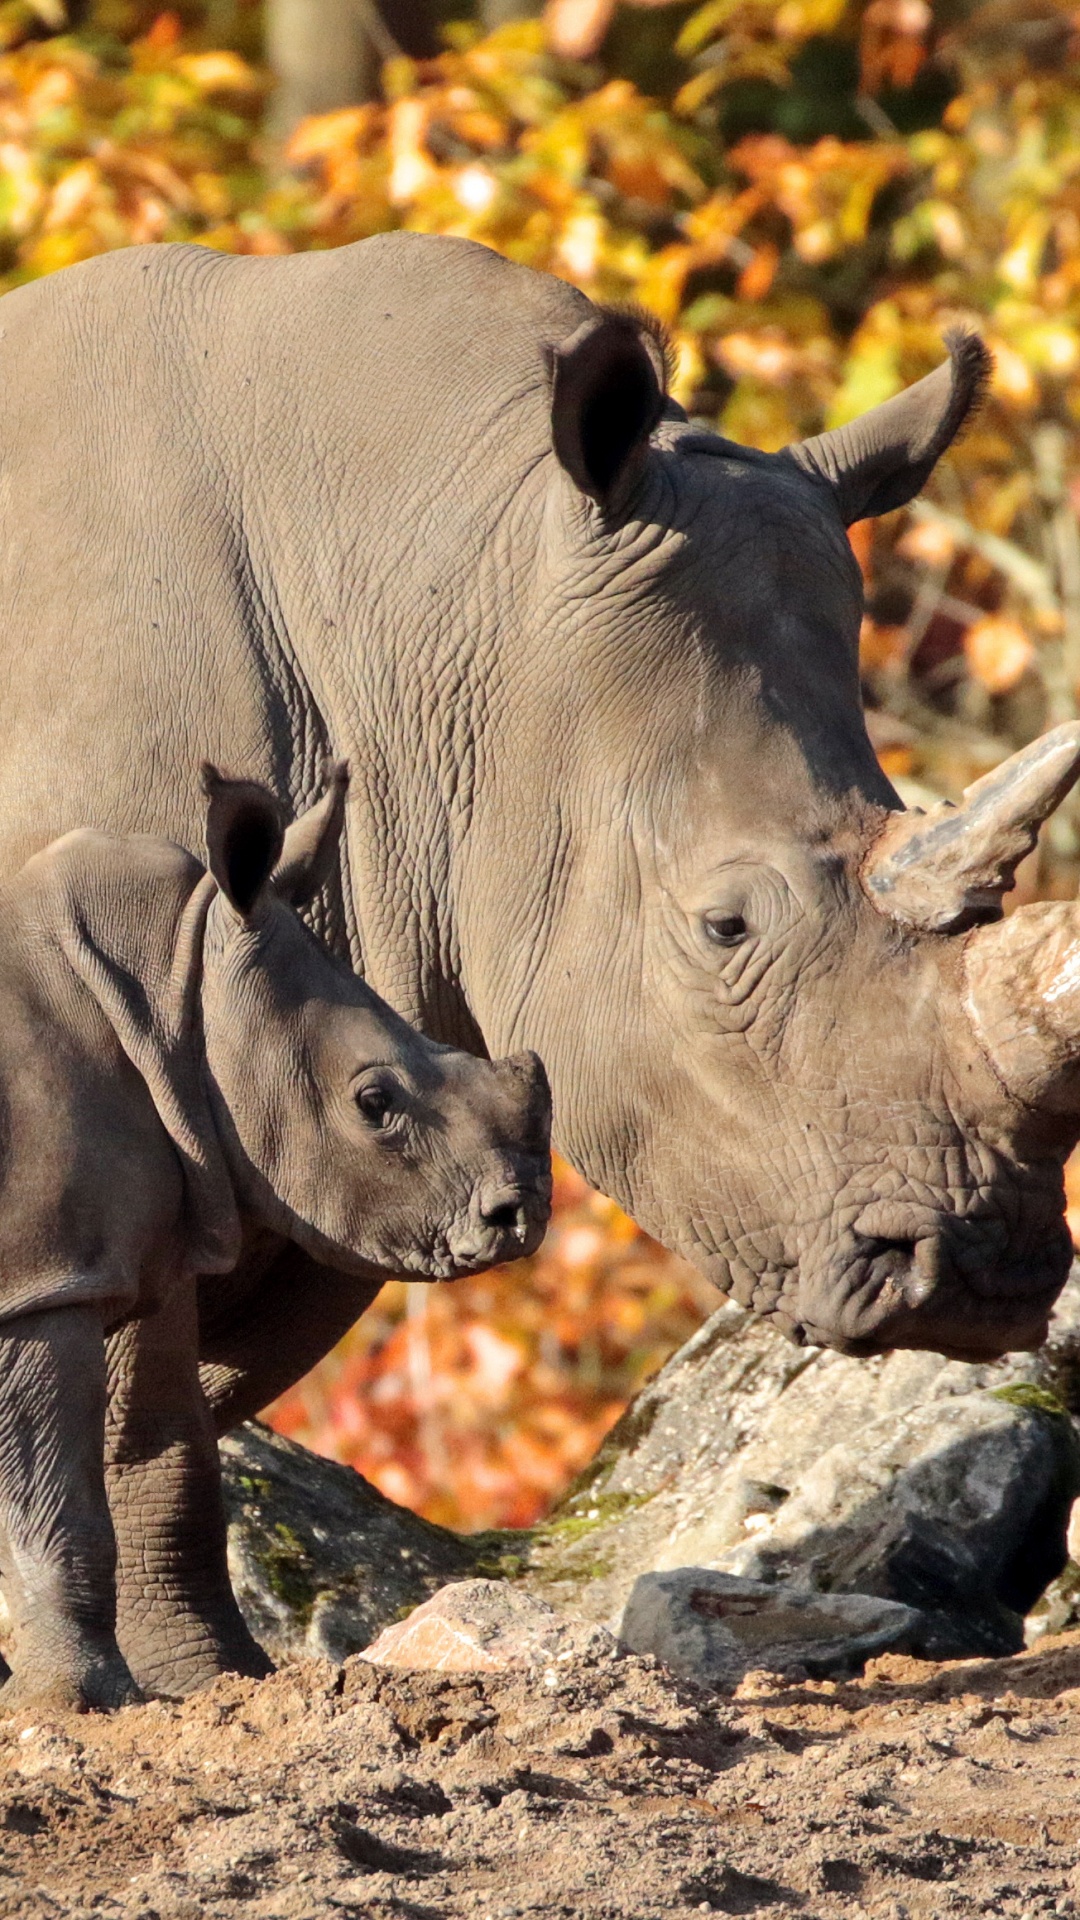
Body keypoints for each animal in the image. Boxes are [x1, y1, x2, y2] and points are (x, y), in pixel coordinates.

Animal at [0, 764, 550, 1711]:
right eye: (375, 1103)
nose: (525, 1212)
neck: (171, 982)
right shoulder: (43, 1279)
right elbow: (56, 1508)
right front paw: (87, 1702)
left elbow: (149, 1448)